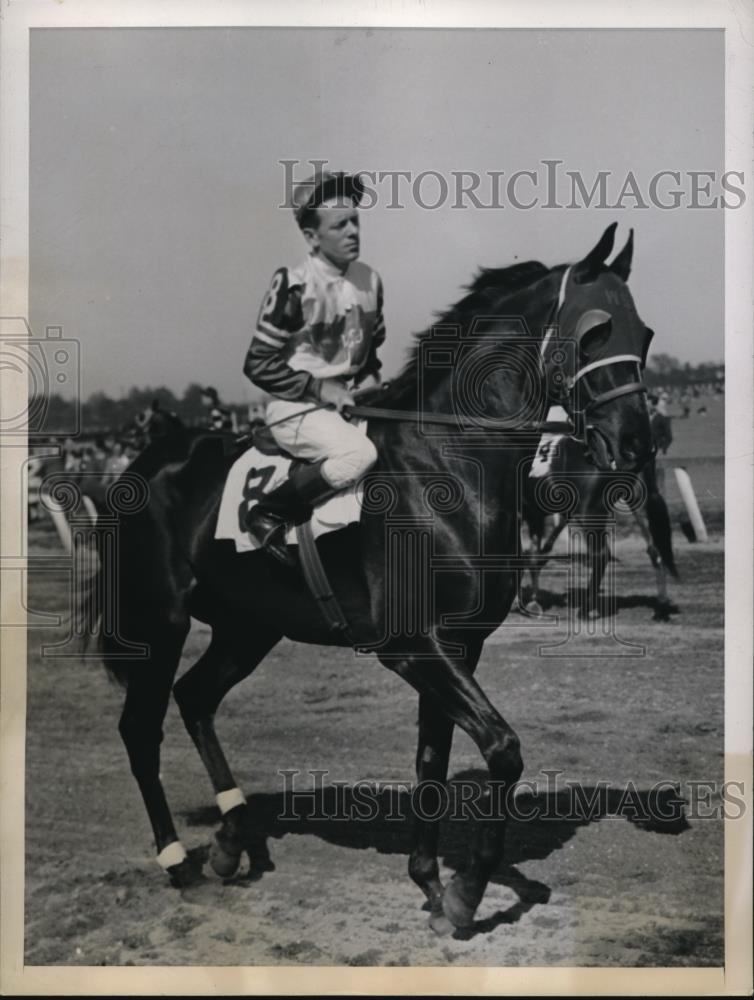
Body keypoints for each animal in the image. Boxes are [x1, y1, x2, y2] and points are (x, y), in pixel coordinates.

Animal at [75, 223, 652, 932]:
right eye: (595, 331)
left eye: (644, 334)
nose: (636, 445)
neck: (447, 467)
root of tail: (144, 461)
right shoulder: (411, 645)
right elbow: (502, 748)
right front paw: (467, 892)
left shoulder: (460, 646)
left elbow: (433, 760)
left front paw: (431, 884)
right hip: (160, 622)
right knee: (140, 728)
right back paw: (179, 861)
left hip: (247, 627)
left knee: (196, 698)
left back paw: (233, 840)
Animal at [520, 432, 680, 620]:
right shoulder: (535, 515)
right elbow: (534, 555)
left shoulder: (530, 515)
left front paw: (532, 603)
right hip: (639, 504)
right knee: (655, 549)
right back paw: (661, 607)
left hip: (590, 514)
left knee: (602, 555)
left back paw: (585, 610)